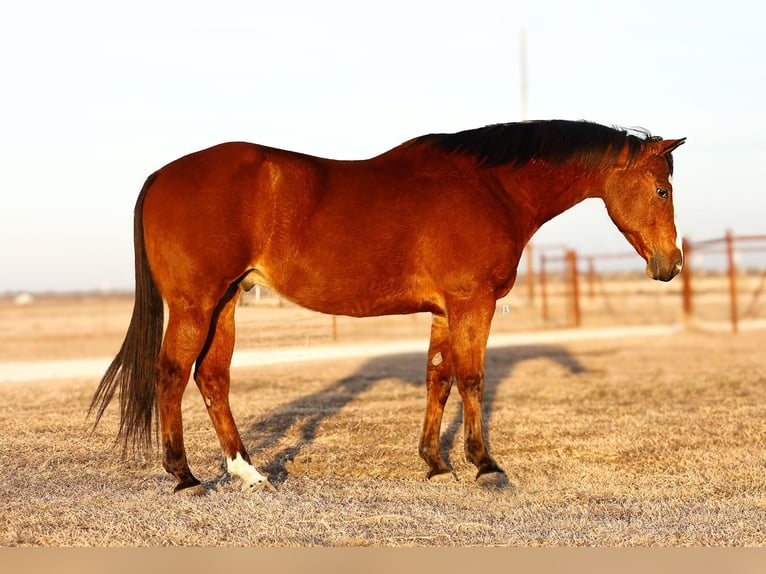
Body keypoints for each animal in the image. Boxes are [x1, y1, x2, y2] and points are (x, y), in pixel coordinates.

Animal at [90, 120, 685, 493]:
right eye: (662, 190)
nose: (671, 263)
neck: (488, 187)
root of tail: (162, 175)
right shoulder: (472, 304)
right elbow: (472, 379)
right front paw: (485, 465)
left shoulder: (445, 311)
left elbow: (438, 379)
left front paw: (435, 464)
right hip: (196, 304)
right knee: (172, 374)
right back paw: (184, 476)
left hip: (227, 303)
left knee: (212, 378)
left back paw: (248, 473)